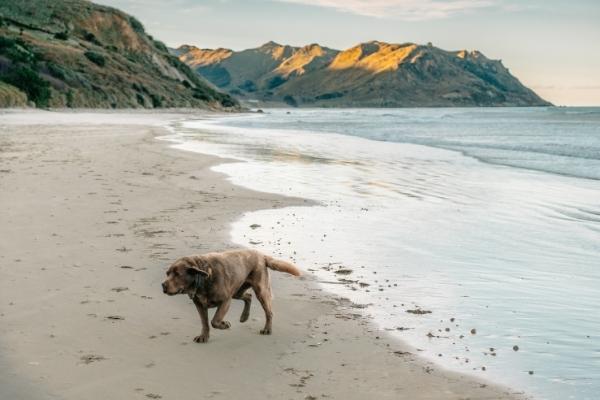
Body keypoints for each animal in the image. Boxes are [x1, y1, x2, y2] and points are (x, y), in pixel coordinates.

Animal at [162, 248, 300, 342]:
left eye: (177, 274)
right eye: (167, 273)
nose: (163, 285)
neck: (203, 278)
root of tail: (261, 255)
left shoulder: (225, 300)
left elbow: (215, 320)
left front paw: (224, 324)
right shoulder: (199, 305)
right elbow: (205, 322)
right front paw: (204, 336)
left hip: (260, 290)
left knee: (269, 312)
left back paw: (267, 329)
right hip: (237, 291)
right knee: (248, 297)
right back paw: (244, 317)